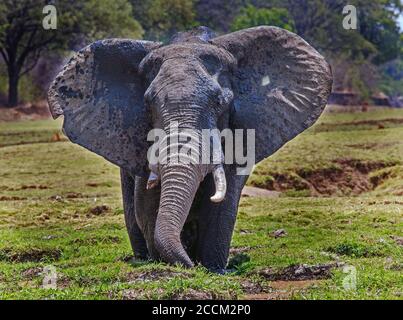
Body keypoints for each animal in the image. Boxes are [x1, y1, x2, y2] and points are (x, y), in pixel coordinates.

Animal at [47, 26, 332, 274]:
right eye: (148, 103)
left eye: (220, 102)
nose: (191, 266)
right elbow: (147, 206)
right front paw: (167, 262)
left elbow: (222, 206)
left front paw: (215, 269)